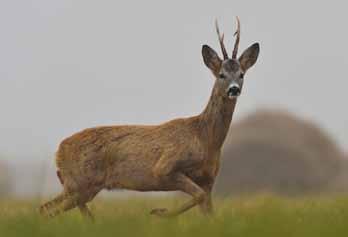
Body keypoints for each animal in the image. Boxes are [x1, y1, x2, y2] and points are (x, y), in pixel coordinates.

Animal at [40, 17, 258, 218]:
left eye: (241, 74)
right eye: (221, 74)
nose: (234, 89)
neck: (205, 139)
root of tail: (58, 152)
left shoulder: (208, 179)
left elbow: (209, 212)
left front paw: (161, 213)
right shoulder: (164, 168)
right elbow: (198, 196)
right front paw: (159, 212)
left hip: (79, 187)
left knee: (47, 207)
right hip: (80, 182)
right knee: (46, 210)